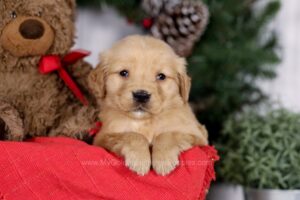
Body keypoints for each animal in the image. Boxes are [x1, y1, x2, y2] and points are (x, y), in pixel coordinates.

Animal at [88, 35, 207, 176]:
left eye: (161, 76)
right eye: (123, 73)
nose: (141, 95)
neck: (145, 121)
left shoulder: (198, 136)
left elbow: (168, 135)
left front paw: (163, 161)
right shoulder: (102, 137)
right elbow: (132, 135)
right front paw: (139, 161)